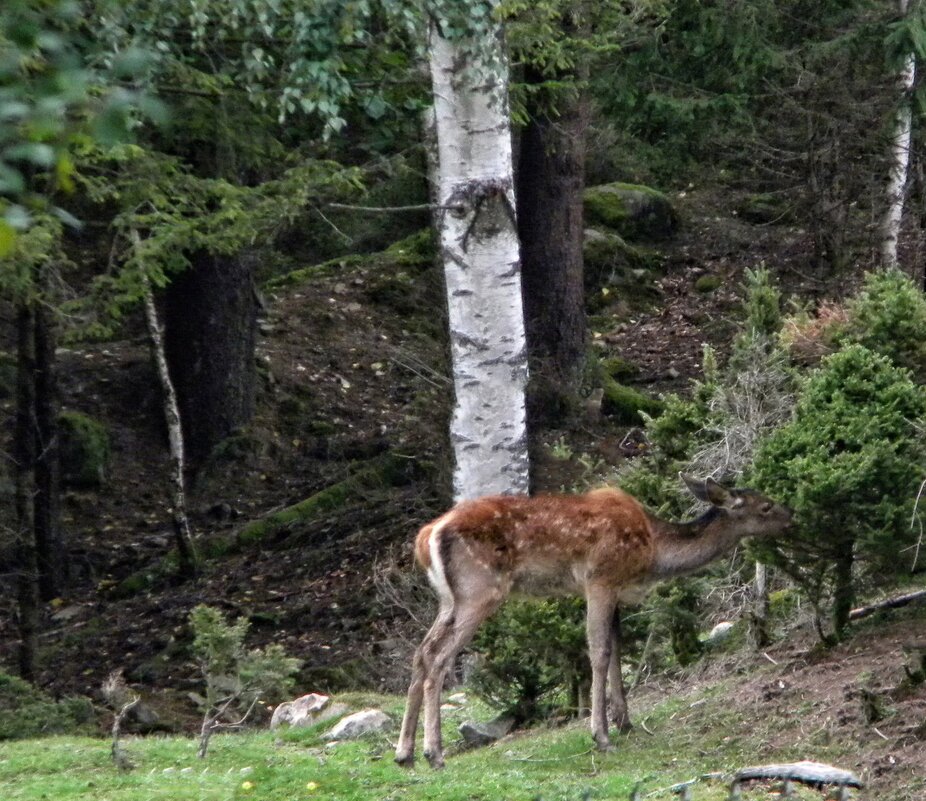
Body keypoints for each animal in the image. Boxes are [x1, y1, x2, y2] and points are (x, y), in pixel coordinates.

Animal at [396, 472, 792, 764]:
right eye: (766, 505)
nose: (794, 518)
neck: (654, 552)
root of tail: (426, 537)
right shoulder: (600, 578)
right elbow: (599, 652)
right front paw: (600, 734)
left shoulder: (615, 589)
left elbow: (617, 650)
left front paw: (625, 722)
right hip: (480, 590)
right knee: (439, 657)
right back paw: (434, 752)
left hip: (449, 599)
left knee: (420, 652)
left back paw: (405, 753)